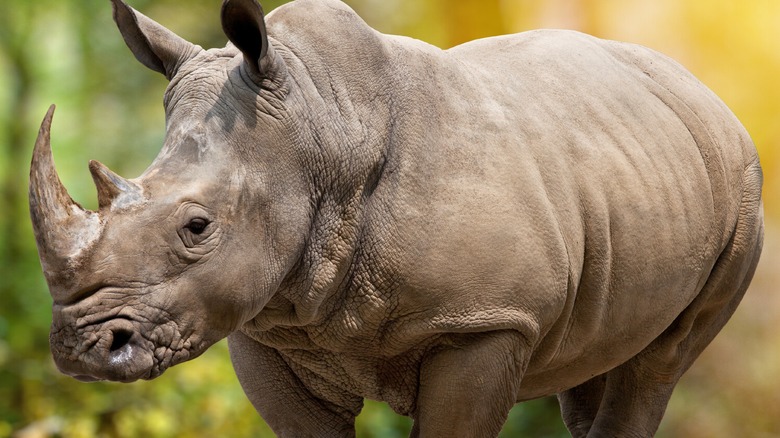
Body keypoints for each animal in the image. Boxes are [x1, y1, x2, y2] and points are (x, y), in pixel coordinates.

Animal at [29, 0, 760, 434]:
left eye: (197, 228)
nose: (82, 350)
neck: (321, 132)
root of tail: (704, 92)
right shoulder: (263, 331)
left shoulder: (485, 319)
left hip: (743, 186)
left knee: (658, 363)